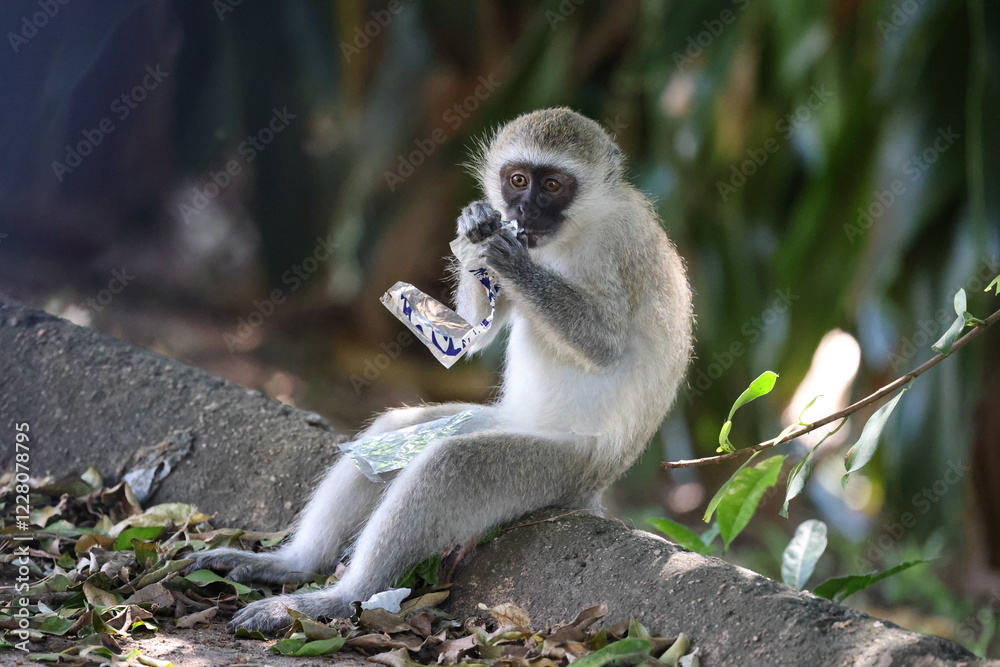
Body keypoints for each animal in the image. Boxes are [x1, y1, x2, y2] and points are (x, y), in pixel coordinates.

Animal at [192, 107, 693, 634]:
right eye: (518, 180)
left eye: (553, 185)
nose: (525, 210)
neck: (575, 229)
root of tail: (594, 489)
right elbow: (477, 329)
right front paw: (475, 224)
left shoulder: (618, 246)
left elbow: (606, 347)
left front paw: (509, 257)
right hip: (494, 424)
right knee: (396, 430)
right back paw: (293, 566)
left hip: (562, 469)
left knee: (452, 465)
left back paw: (337, 599)